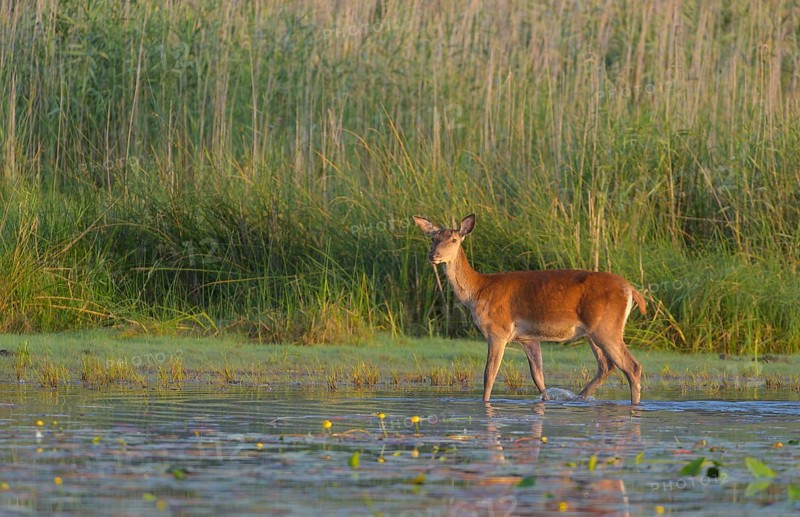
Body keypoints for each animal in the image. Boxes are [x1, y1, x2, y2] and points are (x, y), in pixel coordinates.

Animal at [413, 213, 645, 404]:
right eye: (433, 238)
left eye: (453, 239)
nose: (433, 255)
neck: (478, 291)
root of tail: (631, 289)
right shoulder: (528, 338)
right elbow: (538, 377)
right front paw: (545, 400)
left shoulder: (498, 330)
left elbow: (489, 374)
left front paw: (485, 402)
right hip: (593, 332)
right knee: (606, 366)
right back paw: (579, 397)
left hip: (606, 327)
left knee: (632, 366)